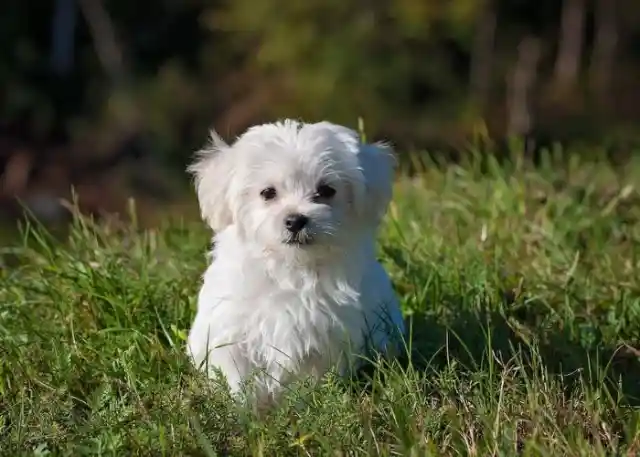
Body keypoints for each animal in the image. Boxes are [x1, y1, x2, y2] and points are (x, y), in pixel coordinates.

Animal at [186, 119, 404, 404]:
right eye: (267, 193)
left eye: (326, 190)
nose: (295, 220)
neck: (290, 268)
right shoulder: (230, 330)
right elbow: (237, 374)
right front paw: (244, 407)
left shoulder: (325, 337)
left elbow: (311, 377)